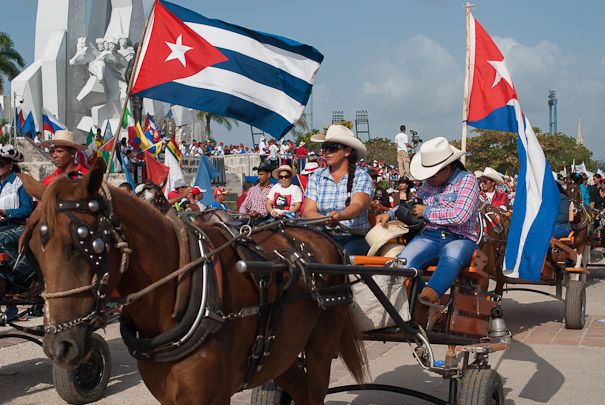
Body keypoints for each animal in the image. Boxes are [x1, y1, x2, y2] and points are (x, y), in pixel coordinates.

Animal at [18, 162, 366, 404]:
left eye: (83, 244)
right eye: (32, 249)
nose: (59, 345)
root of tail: (322, 235)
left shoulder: (211, 395)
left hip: (321, 348)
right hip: (280, 352)